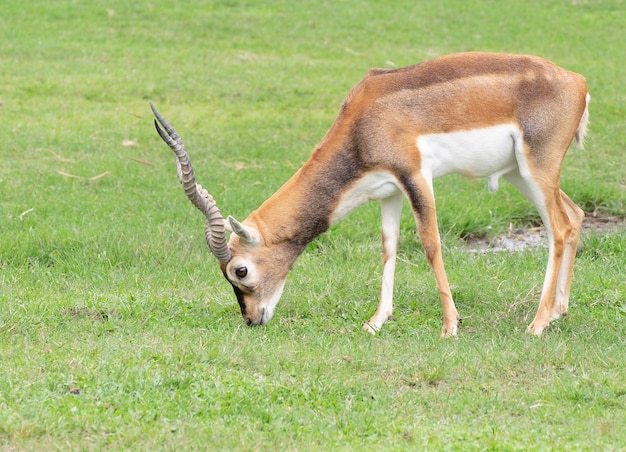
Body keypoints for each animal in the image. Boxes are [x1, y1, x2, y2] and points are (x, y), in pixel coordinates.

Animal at [150, 52, 584, 336]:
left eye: (240, 270)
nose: (252, 319)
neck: (364, 121)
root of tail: (576, 80)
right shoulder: (388, 190)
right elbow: (389, 247)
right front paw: (376, 322)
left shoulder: (415, 175)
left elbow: (430, 244)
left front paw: (450, 326)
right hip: (520, 174)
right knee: (574, 216)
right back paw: (558, 312)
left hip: (536, 169)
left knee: (559, 229)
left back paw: (537, 324)